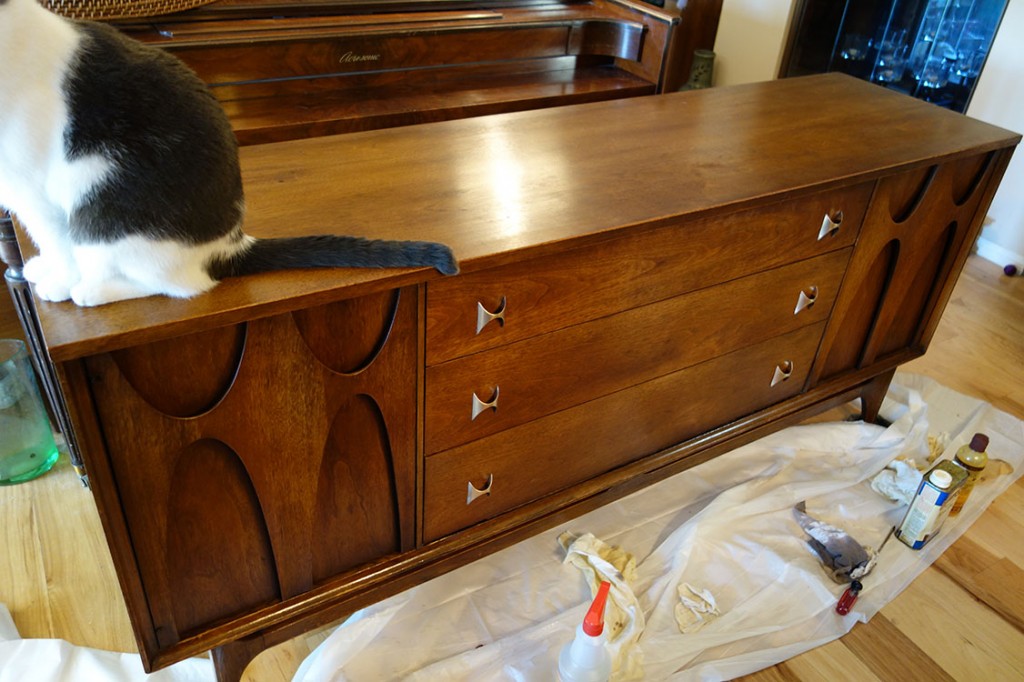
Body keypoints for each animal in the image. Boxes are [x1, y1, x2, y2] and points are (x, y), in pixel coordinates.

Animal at [0, 0, 458, 305]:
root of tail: (229, 243)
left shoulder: (34, 190)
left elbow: (56, 240)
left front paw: (58, 281)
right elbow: (46, 242)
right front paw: (42, 268)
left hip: (100, 201)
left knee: (177, 283)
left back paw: (90, 290)